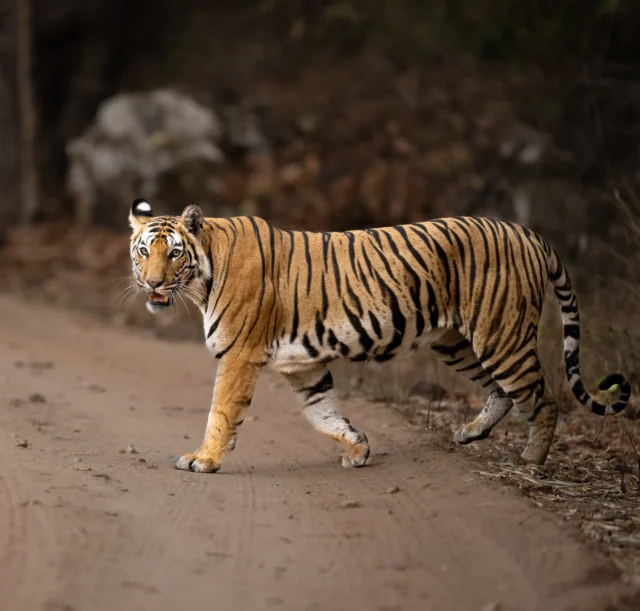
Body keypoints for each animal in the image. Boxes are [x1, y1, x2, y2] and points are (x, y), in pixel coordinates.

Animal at [128, 198, 630, 474]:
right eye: (143, 251)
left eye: (174, 254)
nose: (151, 284)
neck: (202, 277)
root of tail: (526, 231)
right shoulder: (304, 366)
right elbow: (324, 414)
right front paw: (358, 448)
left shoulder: (239, 355)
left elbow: (221, 410)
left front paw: (204, 459)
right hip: (457, 342)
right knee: (502, 392)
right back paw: (471, 432)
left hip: (500, 335)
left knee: (544, 399)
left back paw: (530, 462)